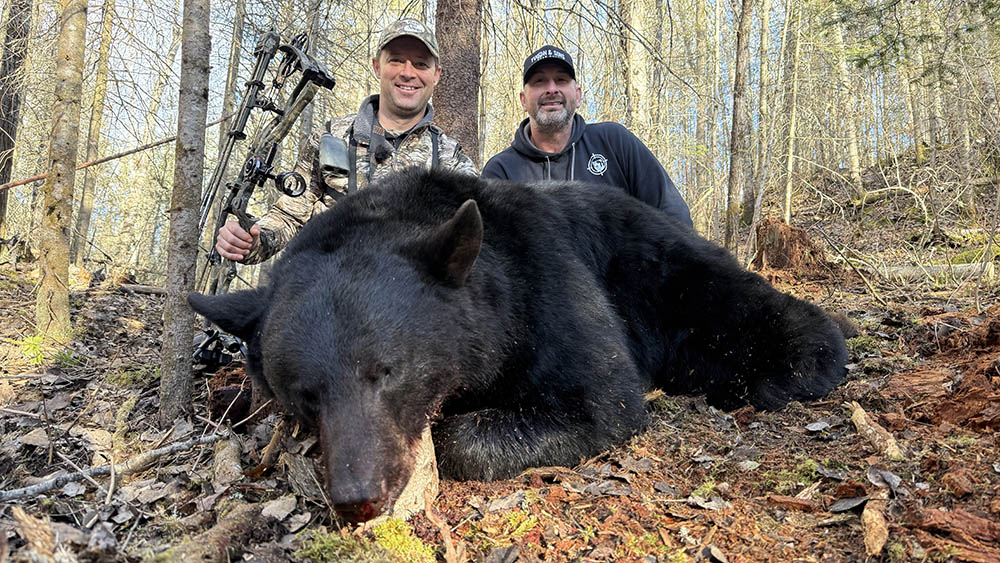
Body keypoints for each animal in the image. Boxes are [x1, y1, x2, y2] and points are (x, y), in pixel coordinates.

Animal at [188, 168, 847, 522]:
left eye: (387, 371)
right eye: (306, 395)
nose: (359, 496)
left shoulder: (545, 284)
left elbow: (601, 398)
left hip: (662, 270)